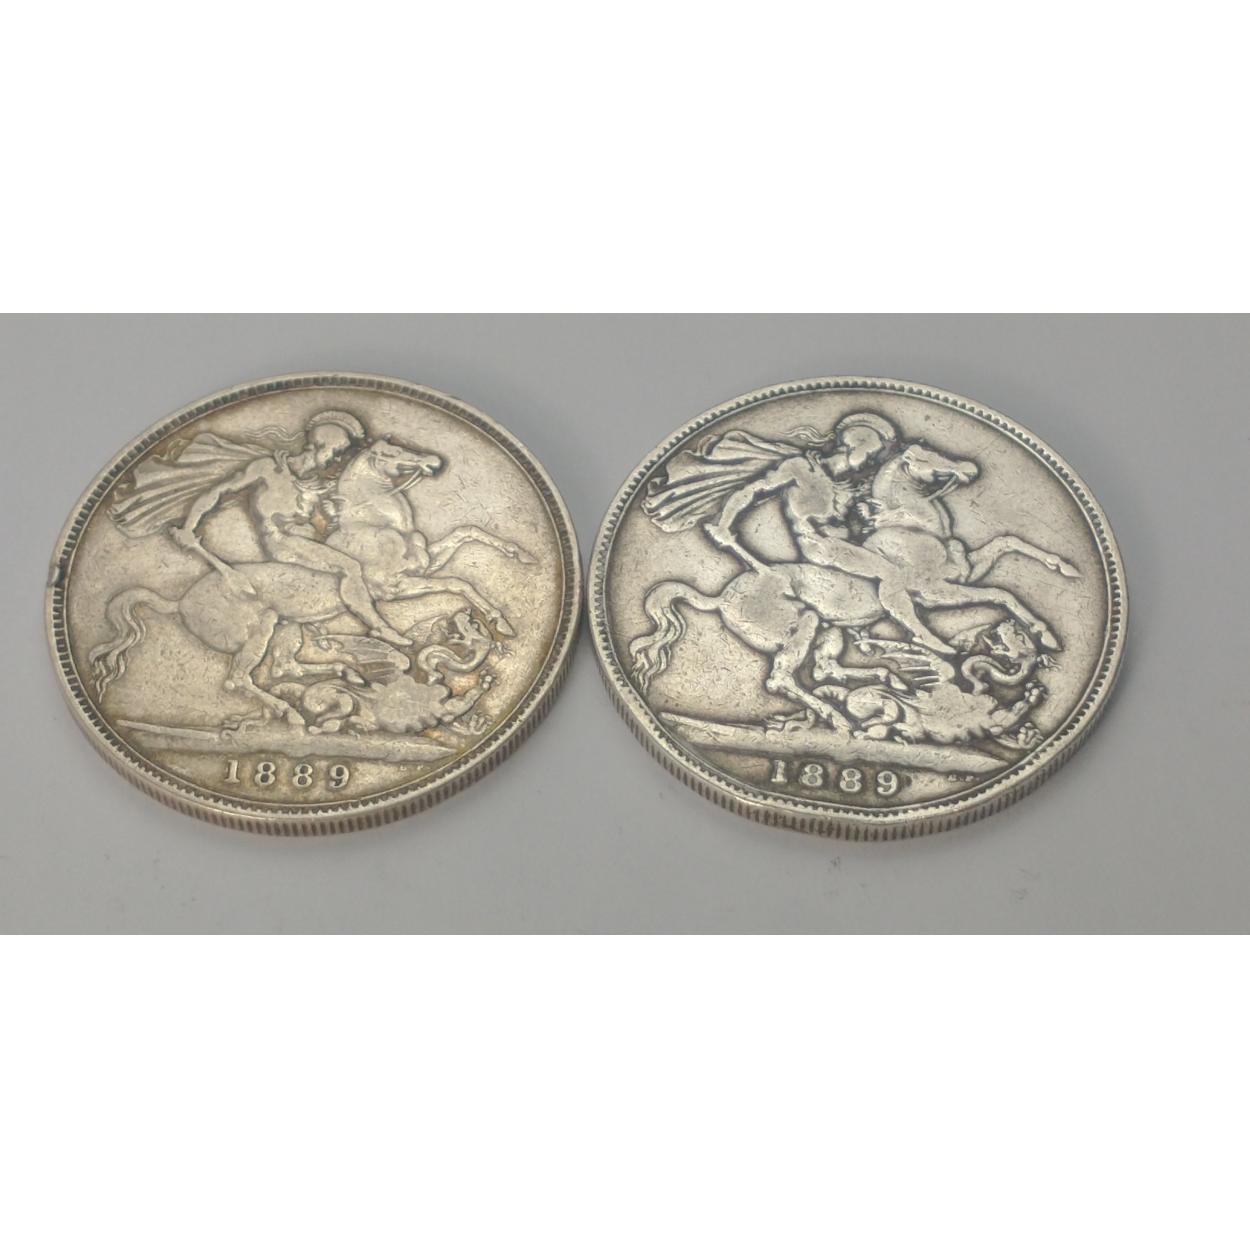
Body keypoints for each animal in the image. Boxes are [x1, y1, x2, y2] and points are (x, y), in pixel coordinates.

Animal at [89, 436, 535, 725]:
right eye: (392, 451)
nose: (435, 463)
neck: (374, 523)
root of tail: (178, 602)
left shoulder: (423, 565)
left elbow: (467, 535)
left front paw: (520, 561)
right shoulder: (394, 588)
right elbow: (459, 583)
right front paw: (401, 636)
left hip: (287, 627)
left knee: (283, 668)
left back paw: (344, 673)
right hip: (260, 629)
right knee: (239, 679)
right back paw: (290, 709)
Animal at [628, 440, 1081, 726]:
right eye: (926, 454)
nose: (969, 468)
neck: (912, 526)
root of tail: (720, 597)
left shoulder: (966, 570)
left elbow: (1010, 544)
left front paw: (1064, 570)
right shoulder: (935, 593)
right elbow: (999, 594)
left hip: (830, 629)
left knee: (824, 668)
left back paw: (882, 677)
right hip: (804, 623)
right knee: (781, 678)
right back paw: (839, 716)